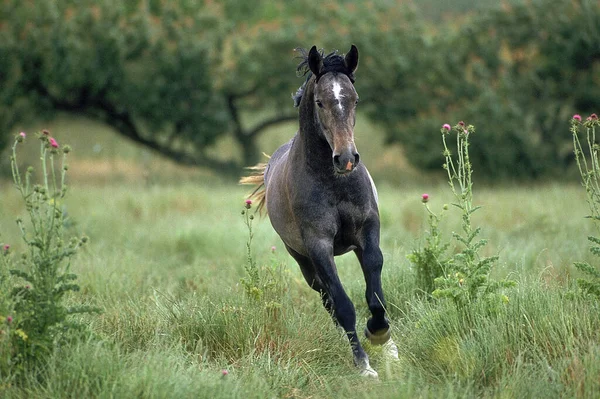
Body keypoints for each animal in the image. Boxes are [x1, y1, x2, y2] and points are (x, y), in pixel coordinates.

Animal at [239, 44, 398, 378]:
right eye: (320, 102)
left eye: (354, 99)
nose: (346, 158)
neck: (333, 182)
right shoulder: (318, 245)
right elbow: (343, 304)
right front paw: (364, 366)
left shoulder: (368, 232)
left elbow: (375, 291)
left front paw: (381, 336)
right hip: (303, 260)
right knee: (328, 299)